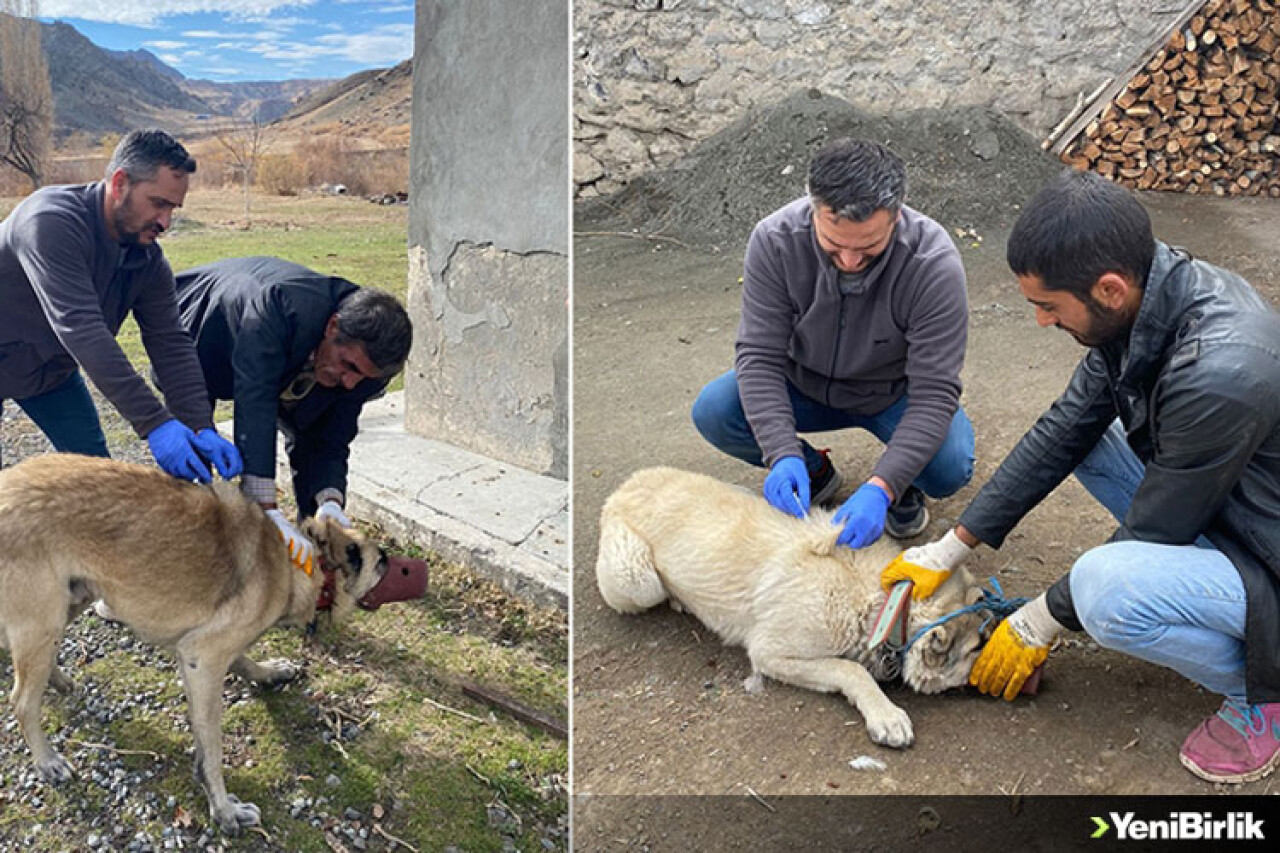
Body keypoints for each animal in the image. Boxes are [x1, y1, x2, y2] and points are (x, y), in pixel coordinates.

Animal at [0, 450, 386, 829]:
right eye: (368, 556)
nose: (385, 558)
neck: (292, 562)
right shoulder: (203, 658)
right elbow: (212, 749)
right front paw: (224, 808)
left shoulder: (209, 651)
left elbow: (243, 662)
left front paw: (269, 672)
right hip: (44, 620)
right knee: (22, 700)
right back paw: (47, 760)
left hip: (70, 602)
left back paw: (58, 679)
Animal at [593, 466, 993, 742]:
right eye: (978, 647)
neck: (883, 603)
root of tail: (626, 484)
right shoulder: (770, 653)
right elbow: (851, 670)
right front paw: (886, 715)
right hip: (639, 581)